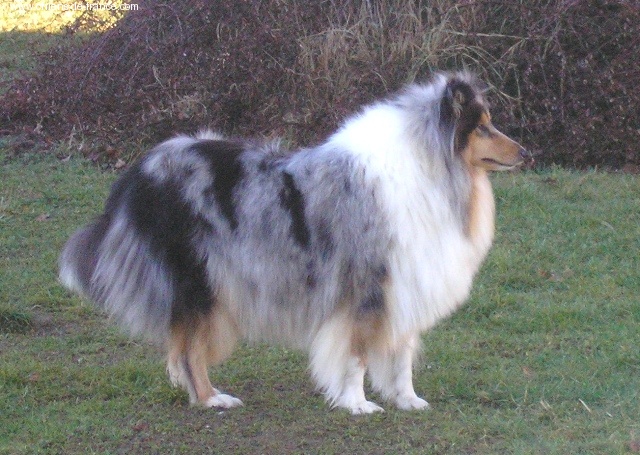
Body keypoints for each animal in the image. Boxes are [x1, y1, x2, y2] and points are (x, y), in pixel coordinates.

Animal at [59, 72, 530, 414]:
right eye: (482, 128)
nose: (526, 153)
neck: (431, 168)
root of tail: (137, 172)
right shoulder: (366, 288)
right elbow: (356, 355)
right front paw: (358, 405)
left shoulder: (405, 284)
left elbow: (400, 356)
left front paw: (408, 401)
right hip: (198, 282)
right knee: (189, 349)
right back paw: (212, 399)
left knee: (181, 348)